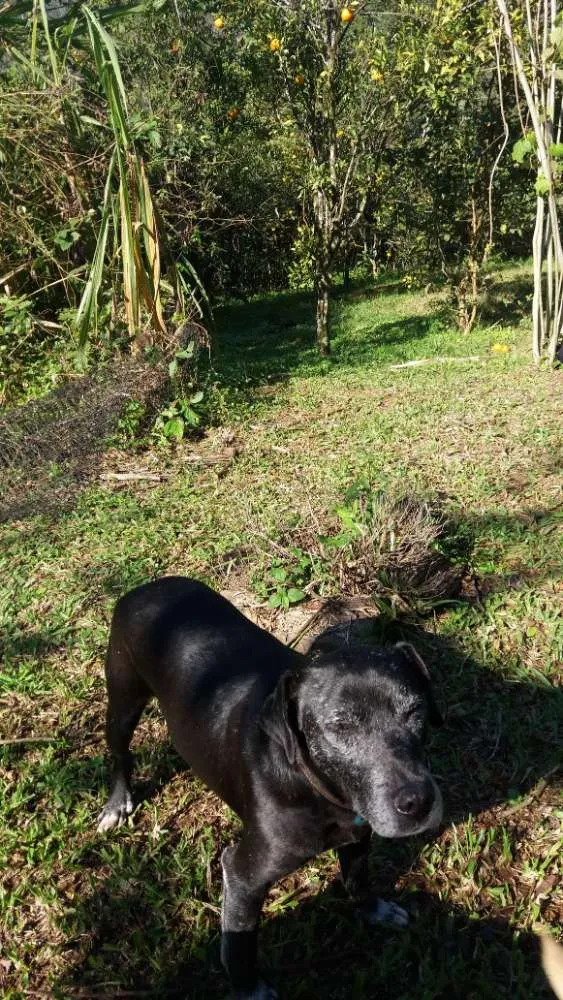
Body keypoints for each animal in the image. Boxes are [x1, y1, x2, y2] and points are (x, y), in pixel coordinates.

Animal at [98, 580, 446, 1000]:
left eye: (415, 711)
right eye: (340, 726)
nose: (418, 801)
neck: (313, 786)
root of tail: (146, 586)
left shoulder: (358, 836)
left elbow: (357, 879)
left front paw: (373, 910)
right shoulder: (243, 876)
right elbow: (239, 944)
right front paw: (251, 989)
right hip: (122, 700)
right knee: (121, 754)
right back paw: (117, 804)